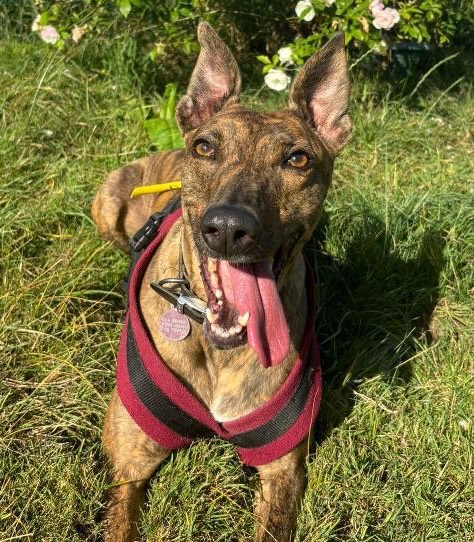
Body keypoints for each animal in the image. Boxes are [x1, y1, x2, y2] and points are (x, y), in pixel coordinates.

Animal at [93, 22, 352, 542]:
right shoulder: (128, 466)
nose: (230, 227)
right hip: (106, 200)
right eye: (206, 148)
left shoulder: (282, 469)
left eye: (297, 159)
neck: (217, 348)